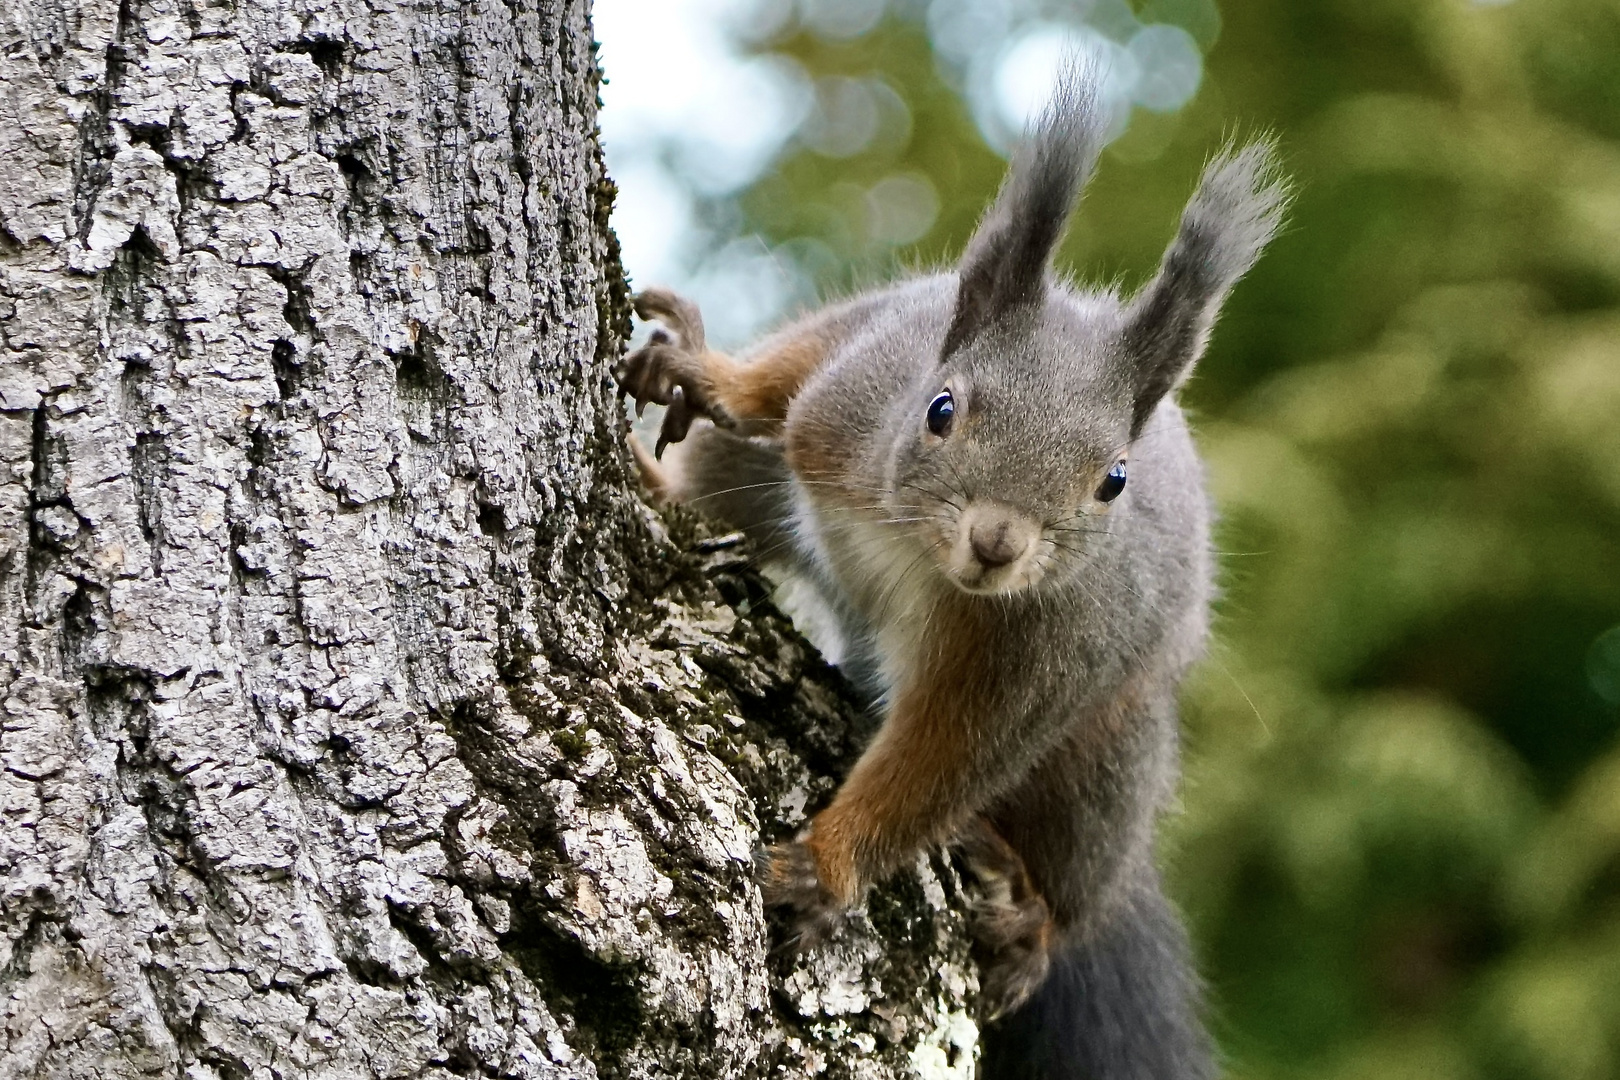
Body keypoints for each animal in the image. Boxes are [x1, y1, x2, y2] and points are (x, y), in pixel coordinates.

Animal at [618, 61, 1289, 1080]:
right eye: (940, 410)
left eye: (1113, 480)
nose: (998, 542)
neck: (917, 553)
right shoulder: (852, 380)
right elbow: (782, 380)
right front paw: (708, 373)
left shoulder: (1032, 655)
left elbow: (940, 763)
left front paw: (829, 865)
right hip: (758, 473)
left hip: (1111, 761)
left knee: (1085, 868)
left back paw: (1032, 920)